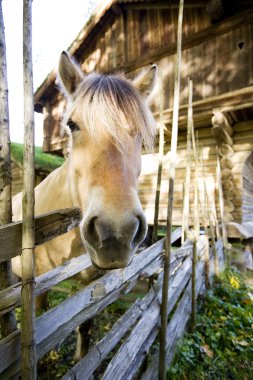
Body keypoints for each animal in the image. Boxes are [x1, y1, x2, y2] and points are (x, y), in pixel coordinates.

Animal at [12, 51, 158, 360]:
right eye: (72, 125)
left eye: (140, 133)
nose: (117, 232)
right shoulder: (38, 283)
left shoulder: (91, 283)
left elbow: (85, 324)